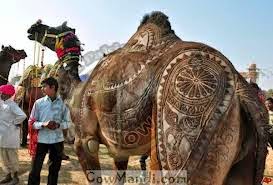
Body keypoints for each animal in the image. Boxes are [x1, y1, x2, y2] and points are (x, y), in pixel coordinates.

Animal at [27, 11, 268, 185]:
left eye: (57, 27)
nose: (33, 27)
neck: (75, 92)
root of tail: (242, 91)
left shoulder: (85, 140)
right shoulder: (119, 149)